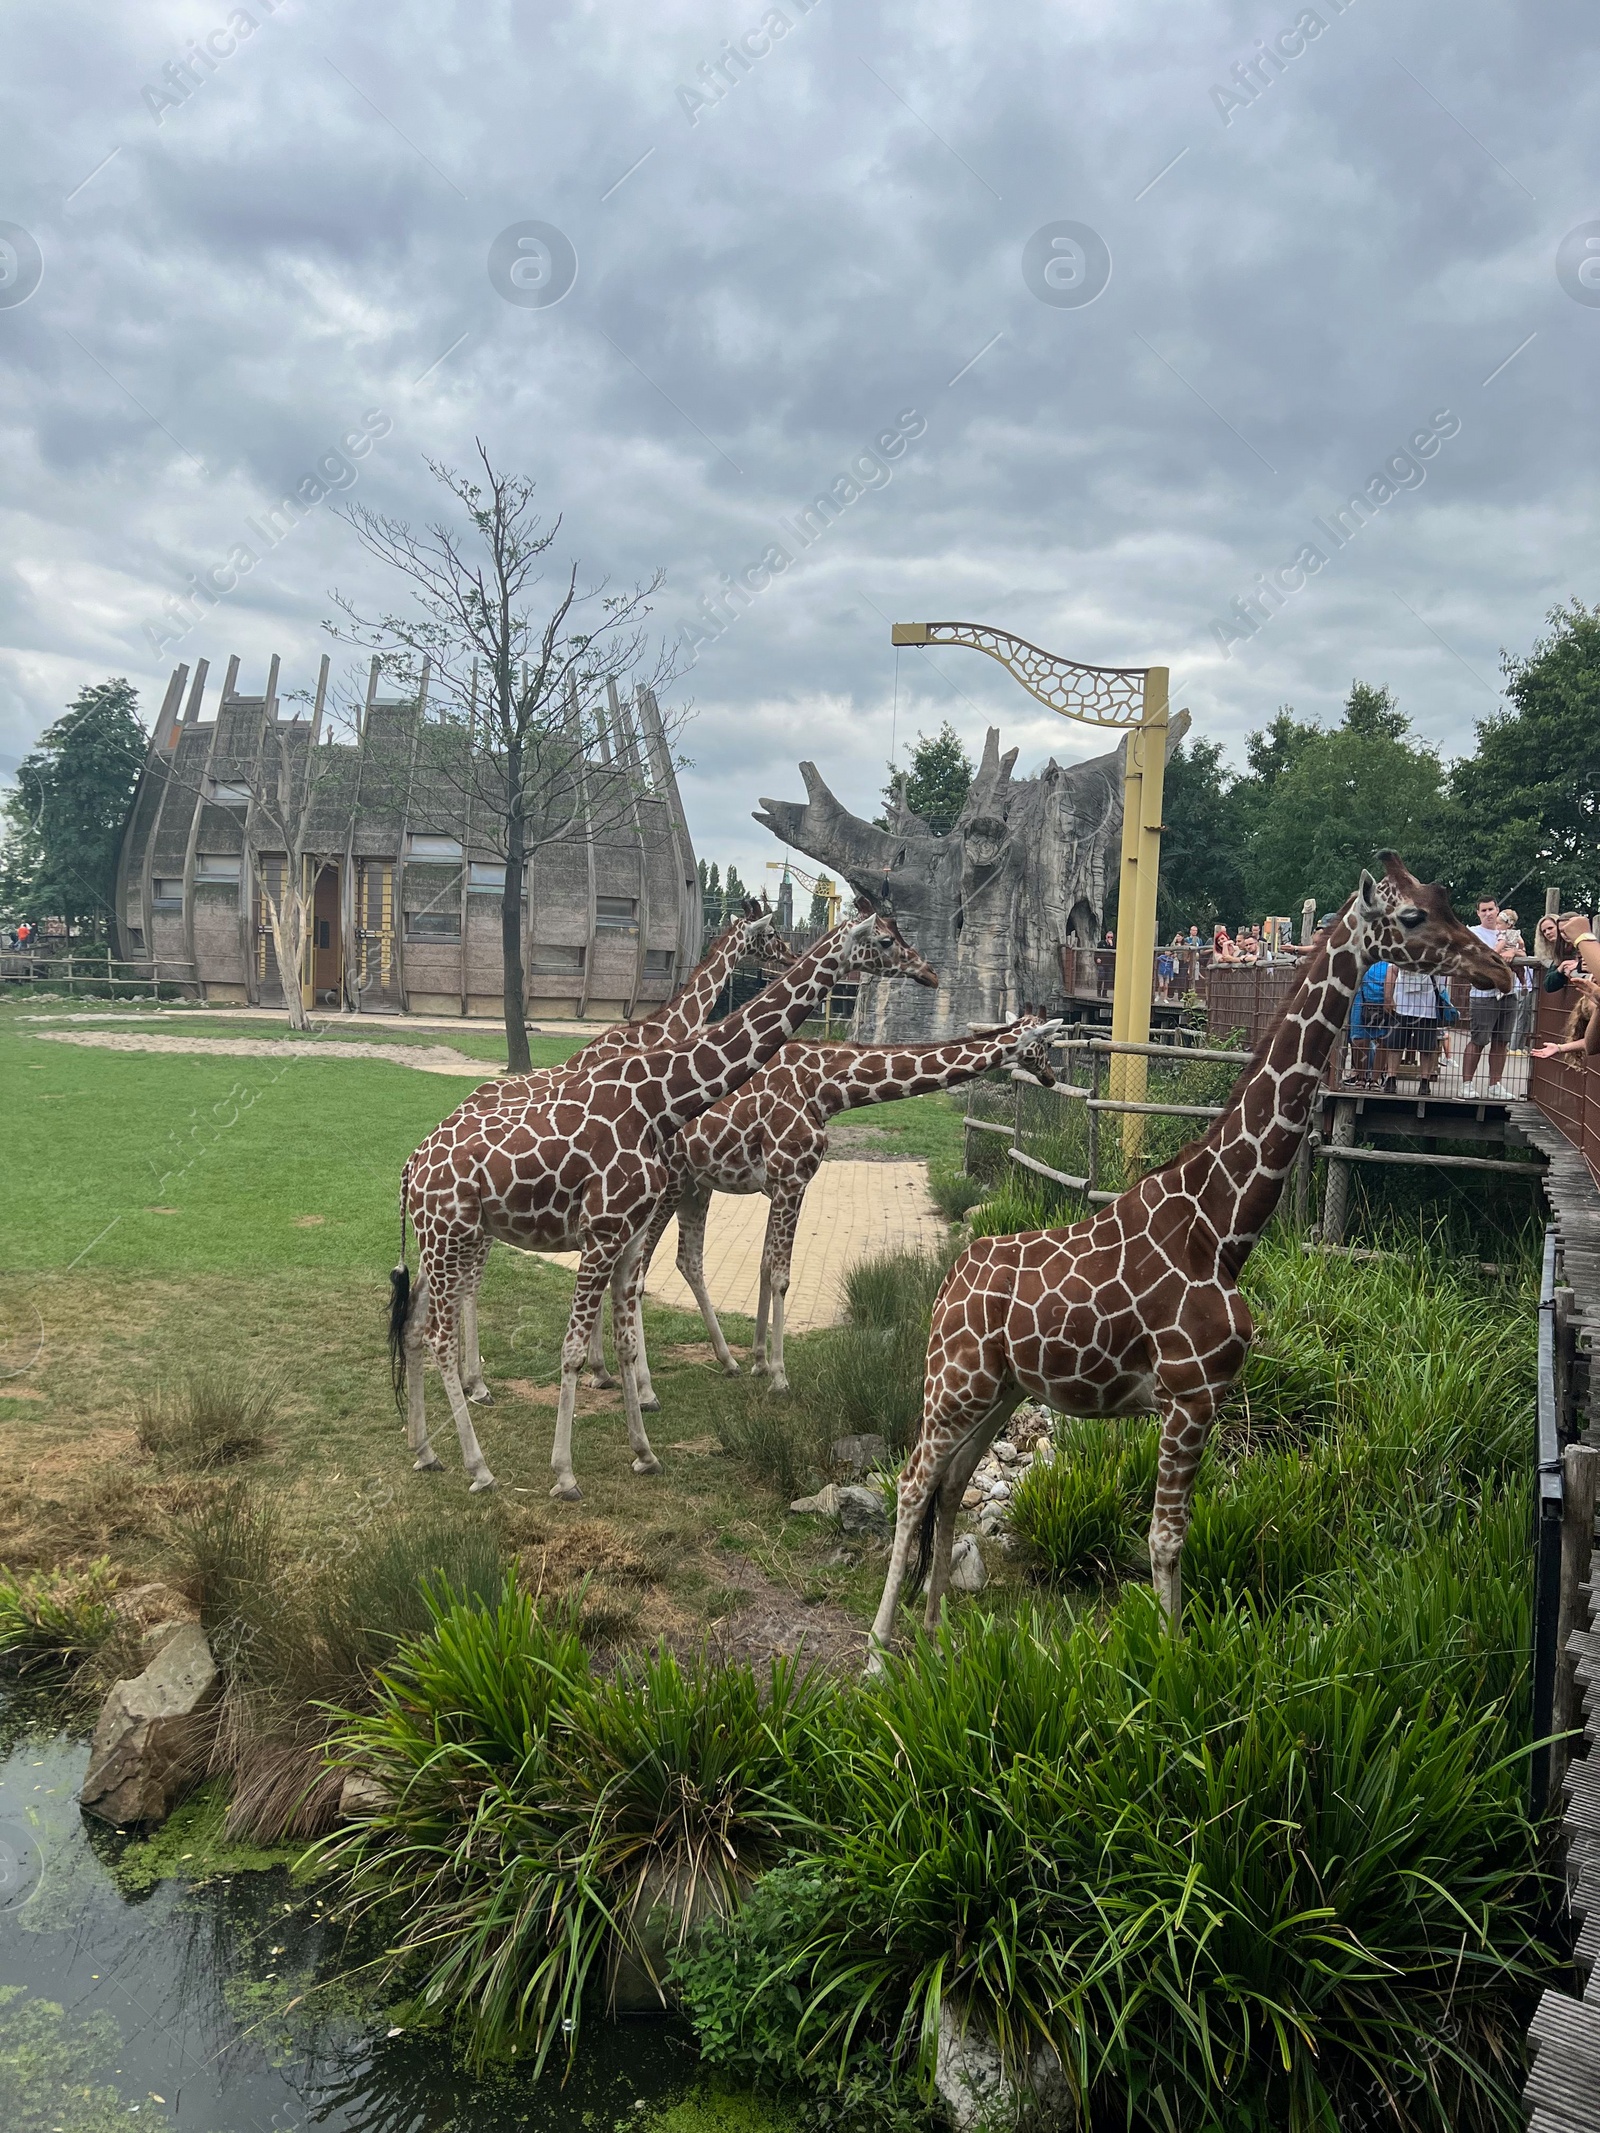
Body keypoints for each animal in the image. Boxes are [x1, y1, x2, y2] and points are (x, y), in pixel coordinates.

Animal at [390, 904, 938, 1501]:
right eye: (884, 940)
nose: (929, 973)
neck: (659, 1098)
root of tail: (411, 1166)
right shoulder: (605, 1230)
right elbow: (574, 1348)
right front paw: (566, 1472)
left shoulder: (626, 1232)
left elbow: (627, 1333)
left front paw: (644, 1449)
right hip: (452, 1236)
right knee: (440, 1333)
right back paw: (478, 1461)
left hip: (447, 1240)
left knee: (416, 1325)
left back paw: (425, 1450)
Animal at [622, 1011, 1066, 1399]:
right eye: (1045, 1043)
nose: (1051, 1076)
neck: (826, 1089)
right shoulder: (792, 1179)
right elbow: (780, 1276)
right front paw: (779, 1377)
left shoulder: (775, 1186)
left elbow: (765, 1267)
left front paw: (759, 1362)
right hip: (666, 1188)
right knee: (637, 1277)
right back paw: (643, 1388)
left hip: (693, 1186)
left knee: (685, 1260)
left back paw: (711, 1362)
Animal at [870, 857, 1518, 1655]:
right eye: (1412, 917)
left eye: (1449, 901)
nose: (1502, 969)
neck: (1224, 1227)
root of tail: (950, 1280)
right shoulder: (1189, 1395)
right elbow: (1165, 1539)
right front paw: (1171, 1661)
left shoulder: (1203, 1398)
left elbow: (1173, 1536)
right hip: (953, 1379)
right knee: (911, 1483)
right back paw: (878, 1650)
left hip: (1002, 1388)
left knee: (952, 1481)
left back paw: (933, 1634)